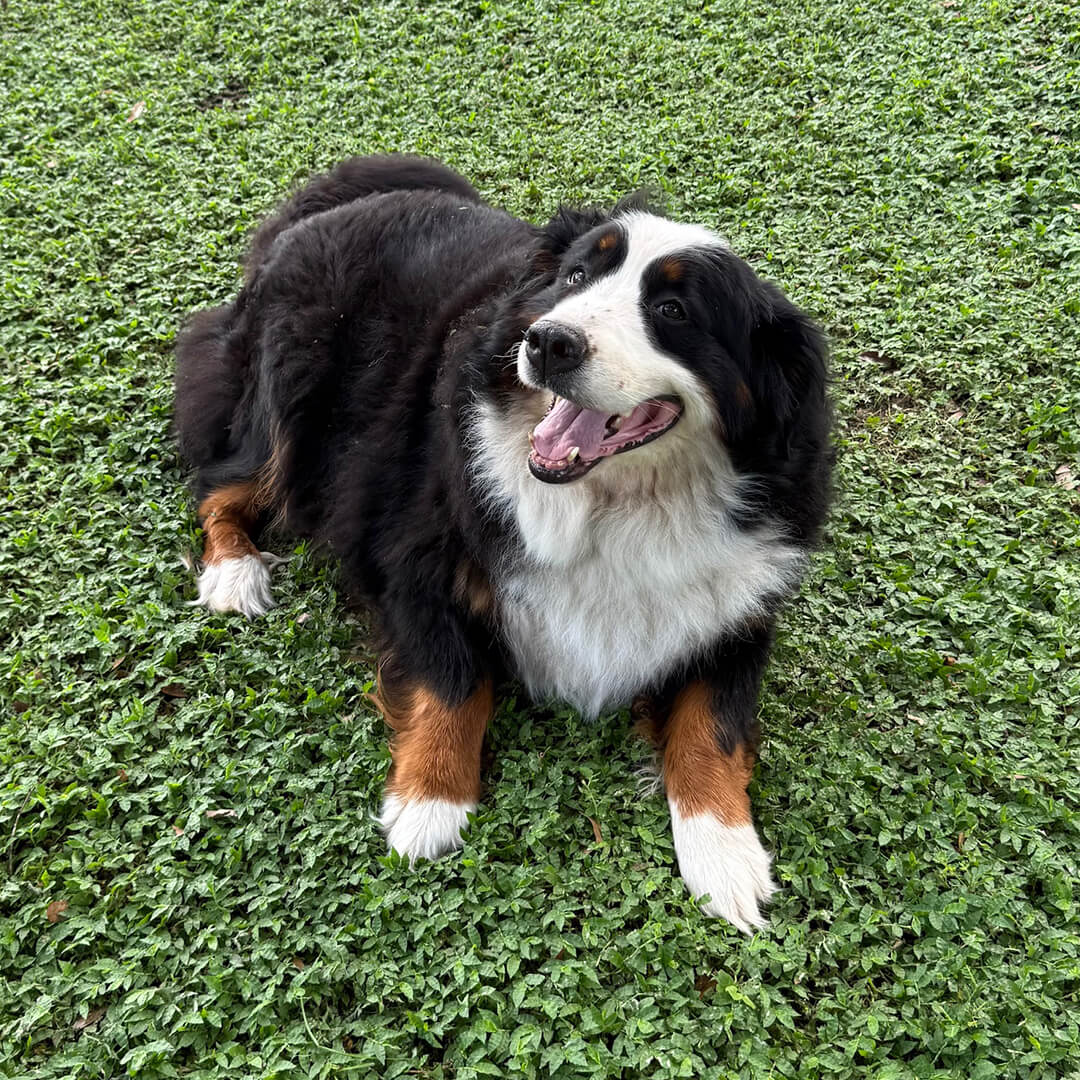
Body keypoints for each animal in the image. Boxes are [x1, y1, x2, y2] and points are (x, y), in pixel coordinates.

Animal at [174, 155, 831, 931]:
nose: (548, 342)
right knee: (224, 482)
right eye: (576, 276)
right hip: (291, 396)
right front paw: (429, 804)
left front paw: (725, 852)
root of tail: (331, 202)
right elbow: (454, 680)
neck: (617, 505)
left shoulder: (738, 605)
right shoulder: (415, 560)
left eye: (674, 312)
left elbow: (714, 723)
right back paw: (234, 572)